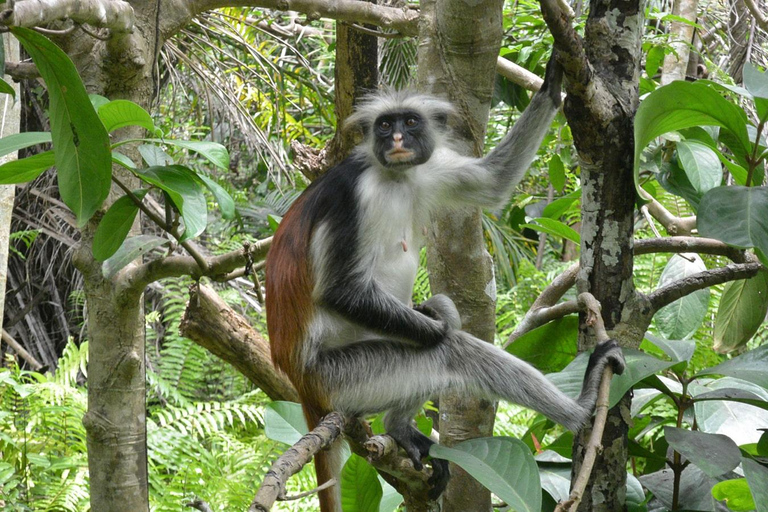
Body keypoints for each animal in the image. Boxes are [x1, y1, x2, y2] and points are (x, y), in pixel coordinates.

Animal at [264, 54, 624, 510]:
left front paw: (553, 81)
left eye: (410, 122)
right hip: (341, 376)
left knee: (442, 312)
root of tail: (298, 376)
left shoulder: (424, 172)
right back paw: (582, 408)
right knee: (448, 352)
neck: (392, 177)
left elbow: (492, 182)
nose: (398, 138)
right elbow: (341, 292)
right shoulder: (350, 193)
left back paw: (399, 426)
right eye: (385, 125)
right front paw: (440, 329)